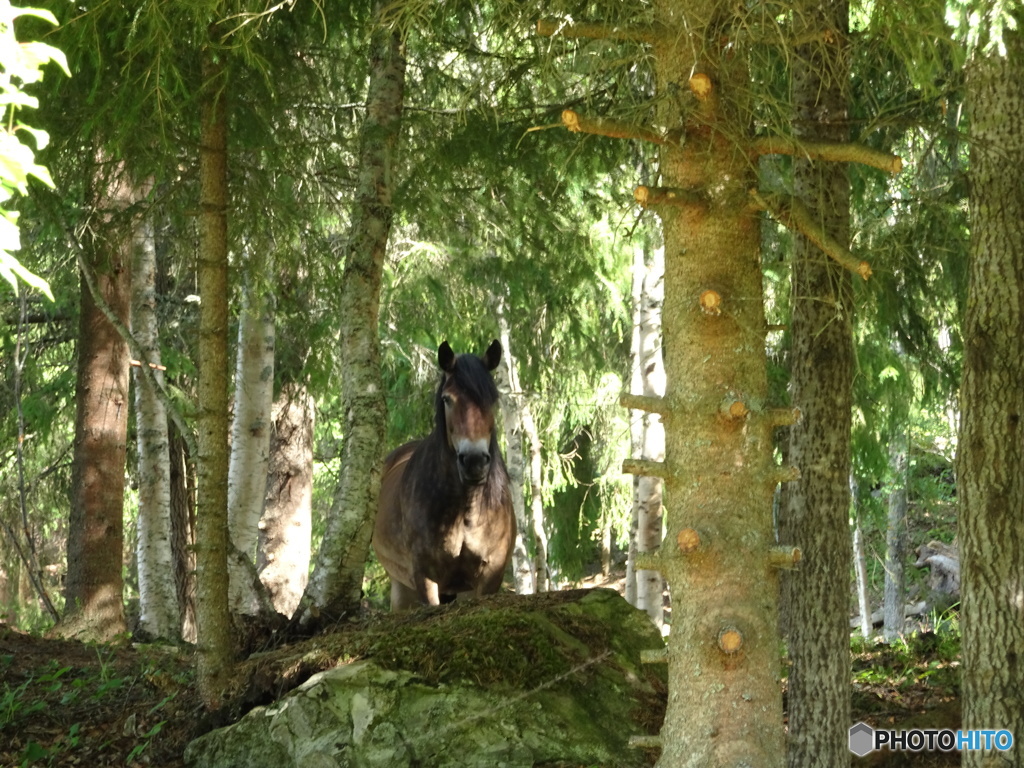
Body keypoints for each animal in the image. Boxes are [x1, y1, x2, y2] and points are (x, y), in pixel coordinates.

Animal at [372, 339, 516, 610]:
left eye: (492, 399)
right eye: (448, 399)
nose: (474, 461)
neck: (464, 512)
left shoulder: (489, 578)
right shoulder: (425, 577)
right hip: (402, 587)